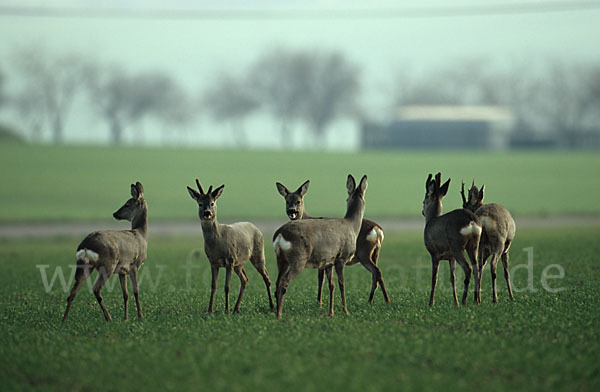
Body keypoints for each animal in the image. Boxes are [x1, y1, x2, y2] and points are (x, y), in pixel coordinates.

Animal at [62, 182, 148, 324]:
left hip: (84, 265)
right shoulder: (134, 265)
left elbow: (125, 294)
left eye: (127, 204)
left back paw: (64, 320)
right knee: (96, 289)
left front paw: (125, 318)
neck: (141, 235)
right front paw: (140, 316)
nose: (115, 214)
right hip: (107, 265)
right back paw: (109, 318)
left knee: (72, 292)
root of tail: (85, 245)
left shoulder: (122, 270)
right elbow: (136, 291)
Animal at [185, 179, 274, 314]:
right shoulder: (213, 262)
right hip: (239, 263)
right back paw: (236, 308)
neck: (217, 243)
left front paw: (226, 310)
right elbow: (213, 286)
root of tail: (256, 228)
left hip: (258, 254)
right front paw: (210, 310)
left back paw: (272, 306)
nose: (207, 213)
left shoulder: (230, 259)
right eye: (200, 204)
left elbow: (227, 286)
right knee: (245, 279)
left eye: (212, 203)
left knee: (266, 277)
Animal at [274, 175, 368, 318]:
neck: (351, 226)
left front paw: (331, 312)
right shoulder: (341, 258)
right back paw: (279, 314)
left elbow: (331, 285)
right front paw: (345, 311)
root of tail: (280, 234)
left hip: (281, 259)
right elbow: (342, 284)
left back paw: (276, 311)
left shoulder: (328, 261)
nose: (292, 211)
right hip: (298, 259)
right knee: (285, 281)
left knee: (277, 281)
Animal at [422, 172, 482, 306]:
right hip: (474, 244)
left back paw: (464, 300)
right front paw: (455, 302)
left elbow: (434, 278)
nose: (422, 211)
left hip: (457, 246)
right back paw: (476, 300)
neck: (431, 220)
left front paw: (431, 302)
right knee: (477, 268)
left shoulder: (434, 253)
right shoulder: (450, 258)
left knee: (468, 268)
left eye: (424, 201)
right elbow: (452, 278)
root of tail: (471, 219)